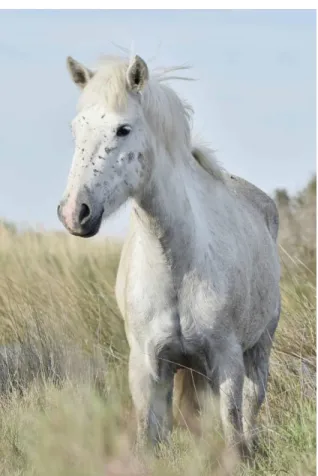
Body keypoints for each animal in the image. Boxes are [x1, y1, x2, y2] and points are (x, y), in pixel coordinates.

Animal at [57, 53, 280, 458]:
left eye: (123, 129)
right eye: (76, 128)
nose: (74, 213)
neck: (177, 264)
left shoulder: (227, 362)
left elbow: (232, 430)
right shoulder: (148, 369)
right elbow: (150, 438)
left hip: (259, 348)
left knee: (251, 407)